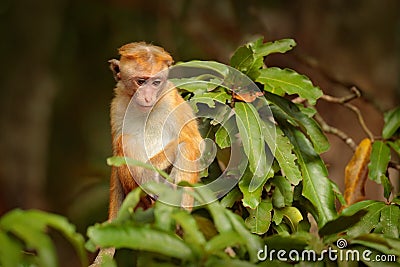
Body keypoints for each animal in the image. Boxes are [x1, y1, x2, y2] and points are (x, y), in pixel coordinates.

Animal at [91, 42, 203, 266]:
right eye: (141, 81)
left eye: (156, 83)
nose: (147, 96)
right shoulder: (117, 106)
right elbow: (116, 157)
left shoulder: (171, 100)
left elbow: (195, 142)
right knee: (124, 140)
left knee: (186, 145)